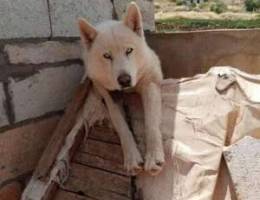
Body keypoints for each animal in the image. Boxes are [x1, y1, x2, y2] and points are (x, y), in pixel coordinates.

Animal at [78, 2, 165, 176]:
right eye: (107, 56)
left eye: (129, 50)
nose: (125, 80)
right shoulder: (109, 95)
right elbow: (121, 125)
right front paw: (132, 157)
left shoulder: (150, 84)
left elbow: (151, 122)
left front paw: (154, 157)